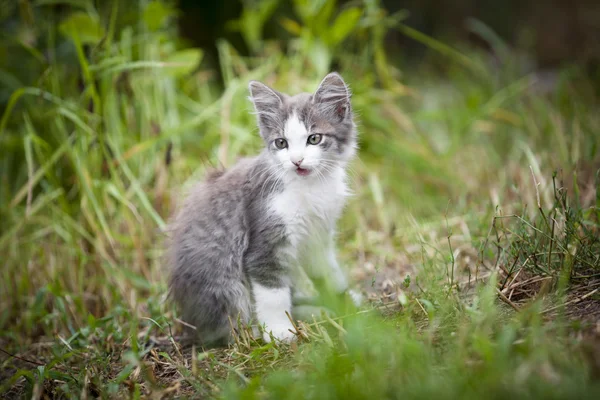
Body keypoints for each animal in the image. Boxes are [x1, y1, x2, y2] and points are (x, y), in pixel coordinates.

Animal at [166, 73, 358, 346]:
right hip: (224, 283)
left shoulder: (317, 238)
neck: (310, 188)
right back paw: (258, 330)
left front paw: (345, 302)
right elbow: (273, 295)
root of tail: (191, 324)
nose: (296, 161)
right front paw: (278, 331)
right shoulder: (265, 245)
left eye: (314, 138)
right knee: (229, 328)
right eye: (281, 143)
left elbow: (328, 274)